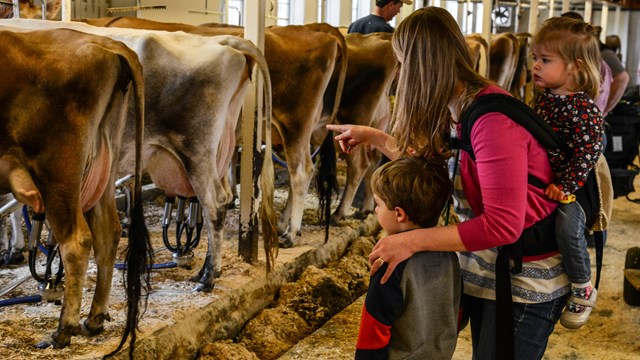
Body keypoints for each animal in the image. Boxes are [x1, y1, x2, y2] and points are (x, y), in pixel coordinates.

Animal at [0, 25, 150, 354]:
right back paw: (94, 319)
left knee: (77, 241)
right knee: (108, 233)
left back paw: (62, 330)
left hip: (58, 170)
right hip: (104, 159)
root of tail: (109, 45)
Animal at [1, 17, 278, 296]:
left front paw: (13, 250)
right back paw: (205, 270)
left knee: (215, 205)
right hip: (218, 149)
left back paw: (208, 277)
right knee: (224, 197)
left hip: (195, 150)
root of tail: (222, 41)